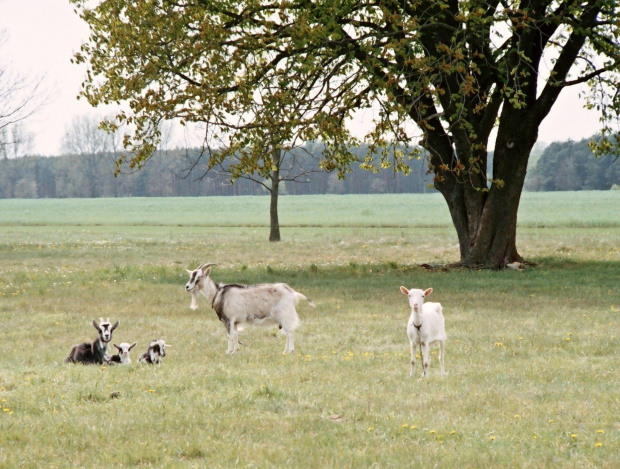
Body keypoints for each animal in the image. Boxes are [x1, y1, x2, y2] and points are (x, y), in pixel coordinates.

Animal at [184, 262, 314, 352]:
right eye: (191, 276)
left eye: (199, 278)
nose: (187, 287)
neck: (218, 294)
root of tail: (293, 293)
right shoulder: (235, 322)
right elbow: (235, 335)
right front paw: (236, 351)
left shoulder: (229, 320)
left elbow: (230, 336)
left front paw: (229, 352)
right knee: (287, 332)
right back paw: (285, 351)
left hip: (285, 314)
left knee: (290, 333)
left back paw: (290, 351)